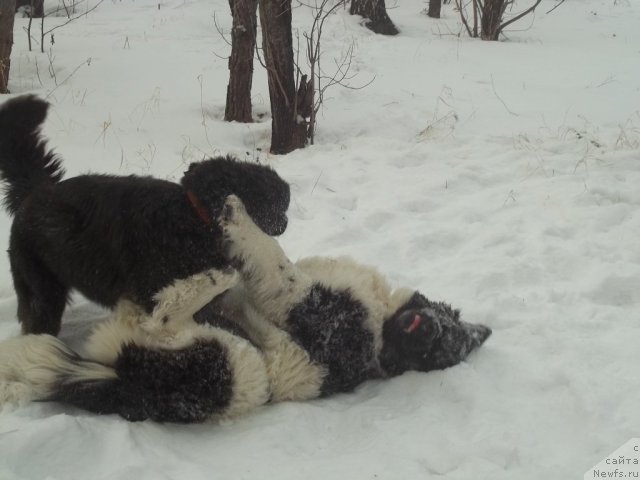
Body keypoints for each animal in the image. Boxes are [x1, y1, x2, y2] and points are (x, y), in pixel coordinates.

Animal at [0, 95, 288, 336]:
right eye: (278, 205)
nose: (285, 222)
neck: (192, 217)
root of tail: (35, 191)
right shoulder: (167, 300)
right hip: (42, 292)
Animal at [0, 197, 492, 422]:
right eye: (449, 335)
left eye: (440, 349)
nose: (427, 330)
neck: (381, 325)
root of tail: (129, 378)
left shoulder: (306, 305)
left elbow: (272, 256)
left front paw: (237, 220)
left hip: (236, 357)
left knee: (167, 315)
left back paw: (213, 274)